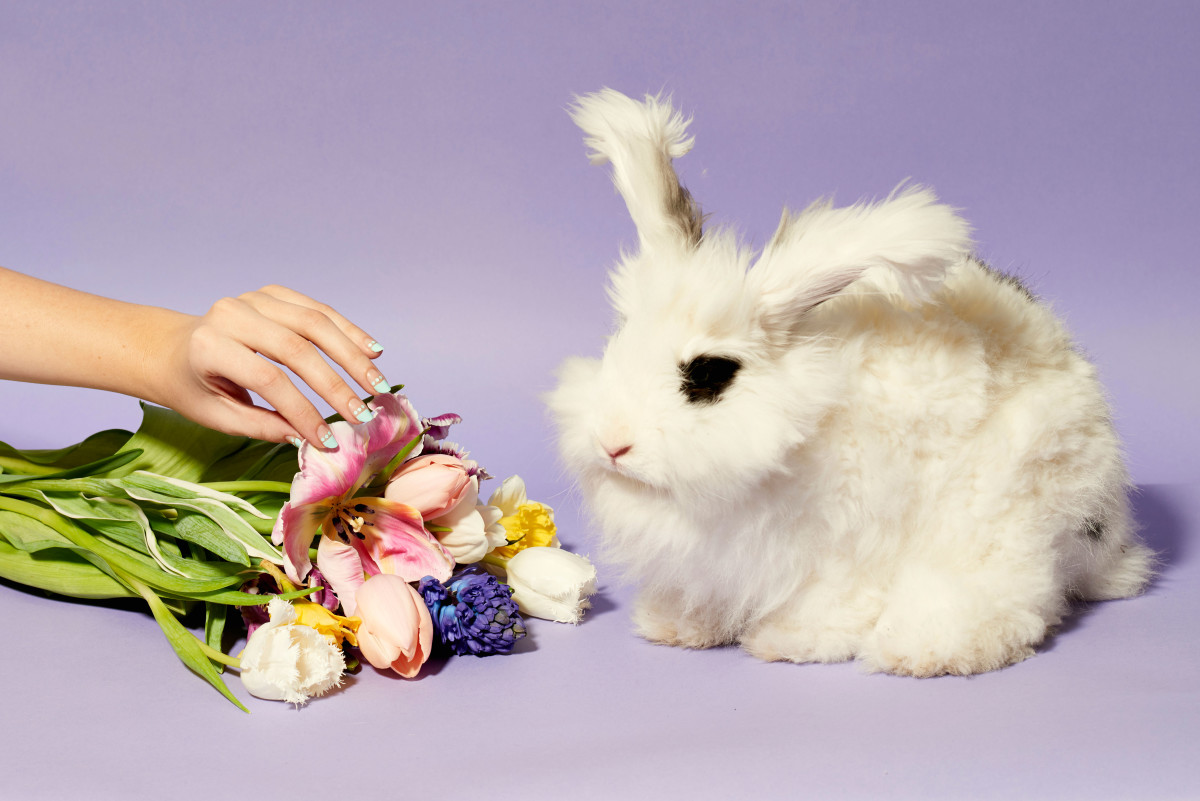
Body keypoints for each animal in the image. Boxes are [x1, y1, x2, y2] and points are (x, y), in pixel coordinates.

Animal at [549, 87, 1152, 676]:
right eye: (618, 341)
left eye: (710, 373)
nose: (612, 446)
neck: (800, 430)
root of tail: (1114, 542)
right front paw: (675, 626)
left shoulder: (849, 546)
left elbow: (832, 602)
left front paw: (788, 642)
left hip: (1006, 511)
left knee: (1012, 595)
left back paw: (920, 650)